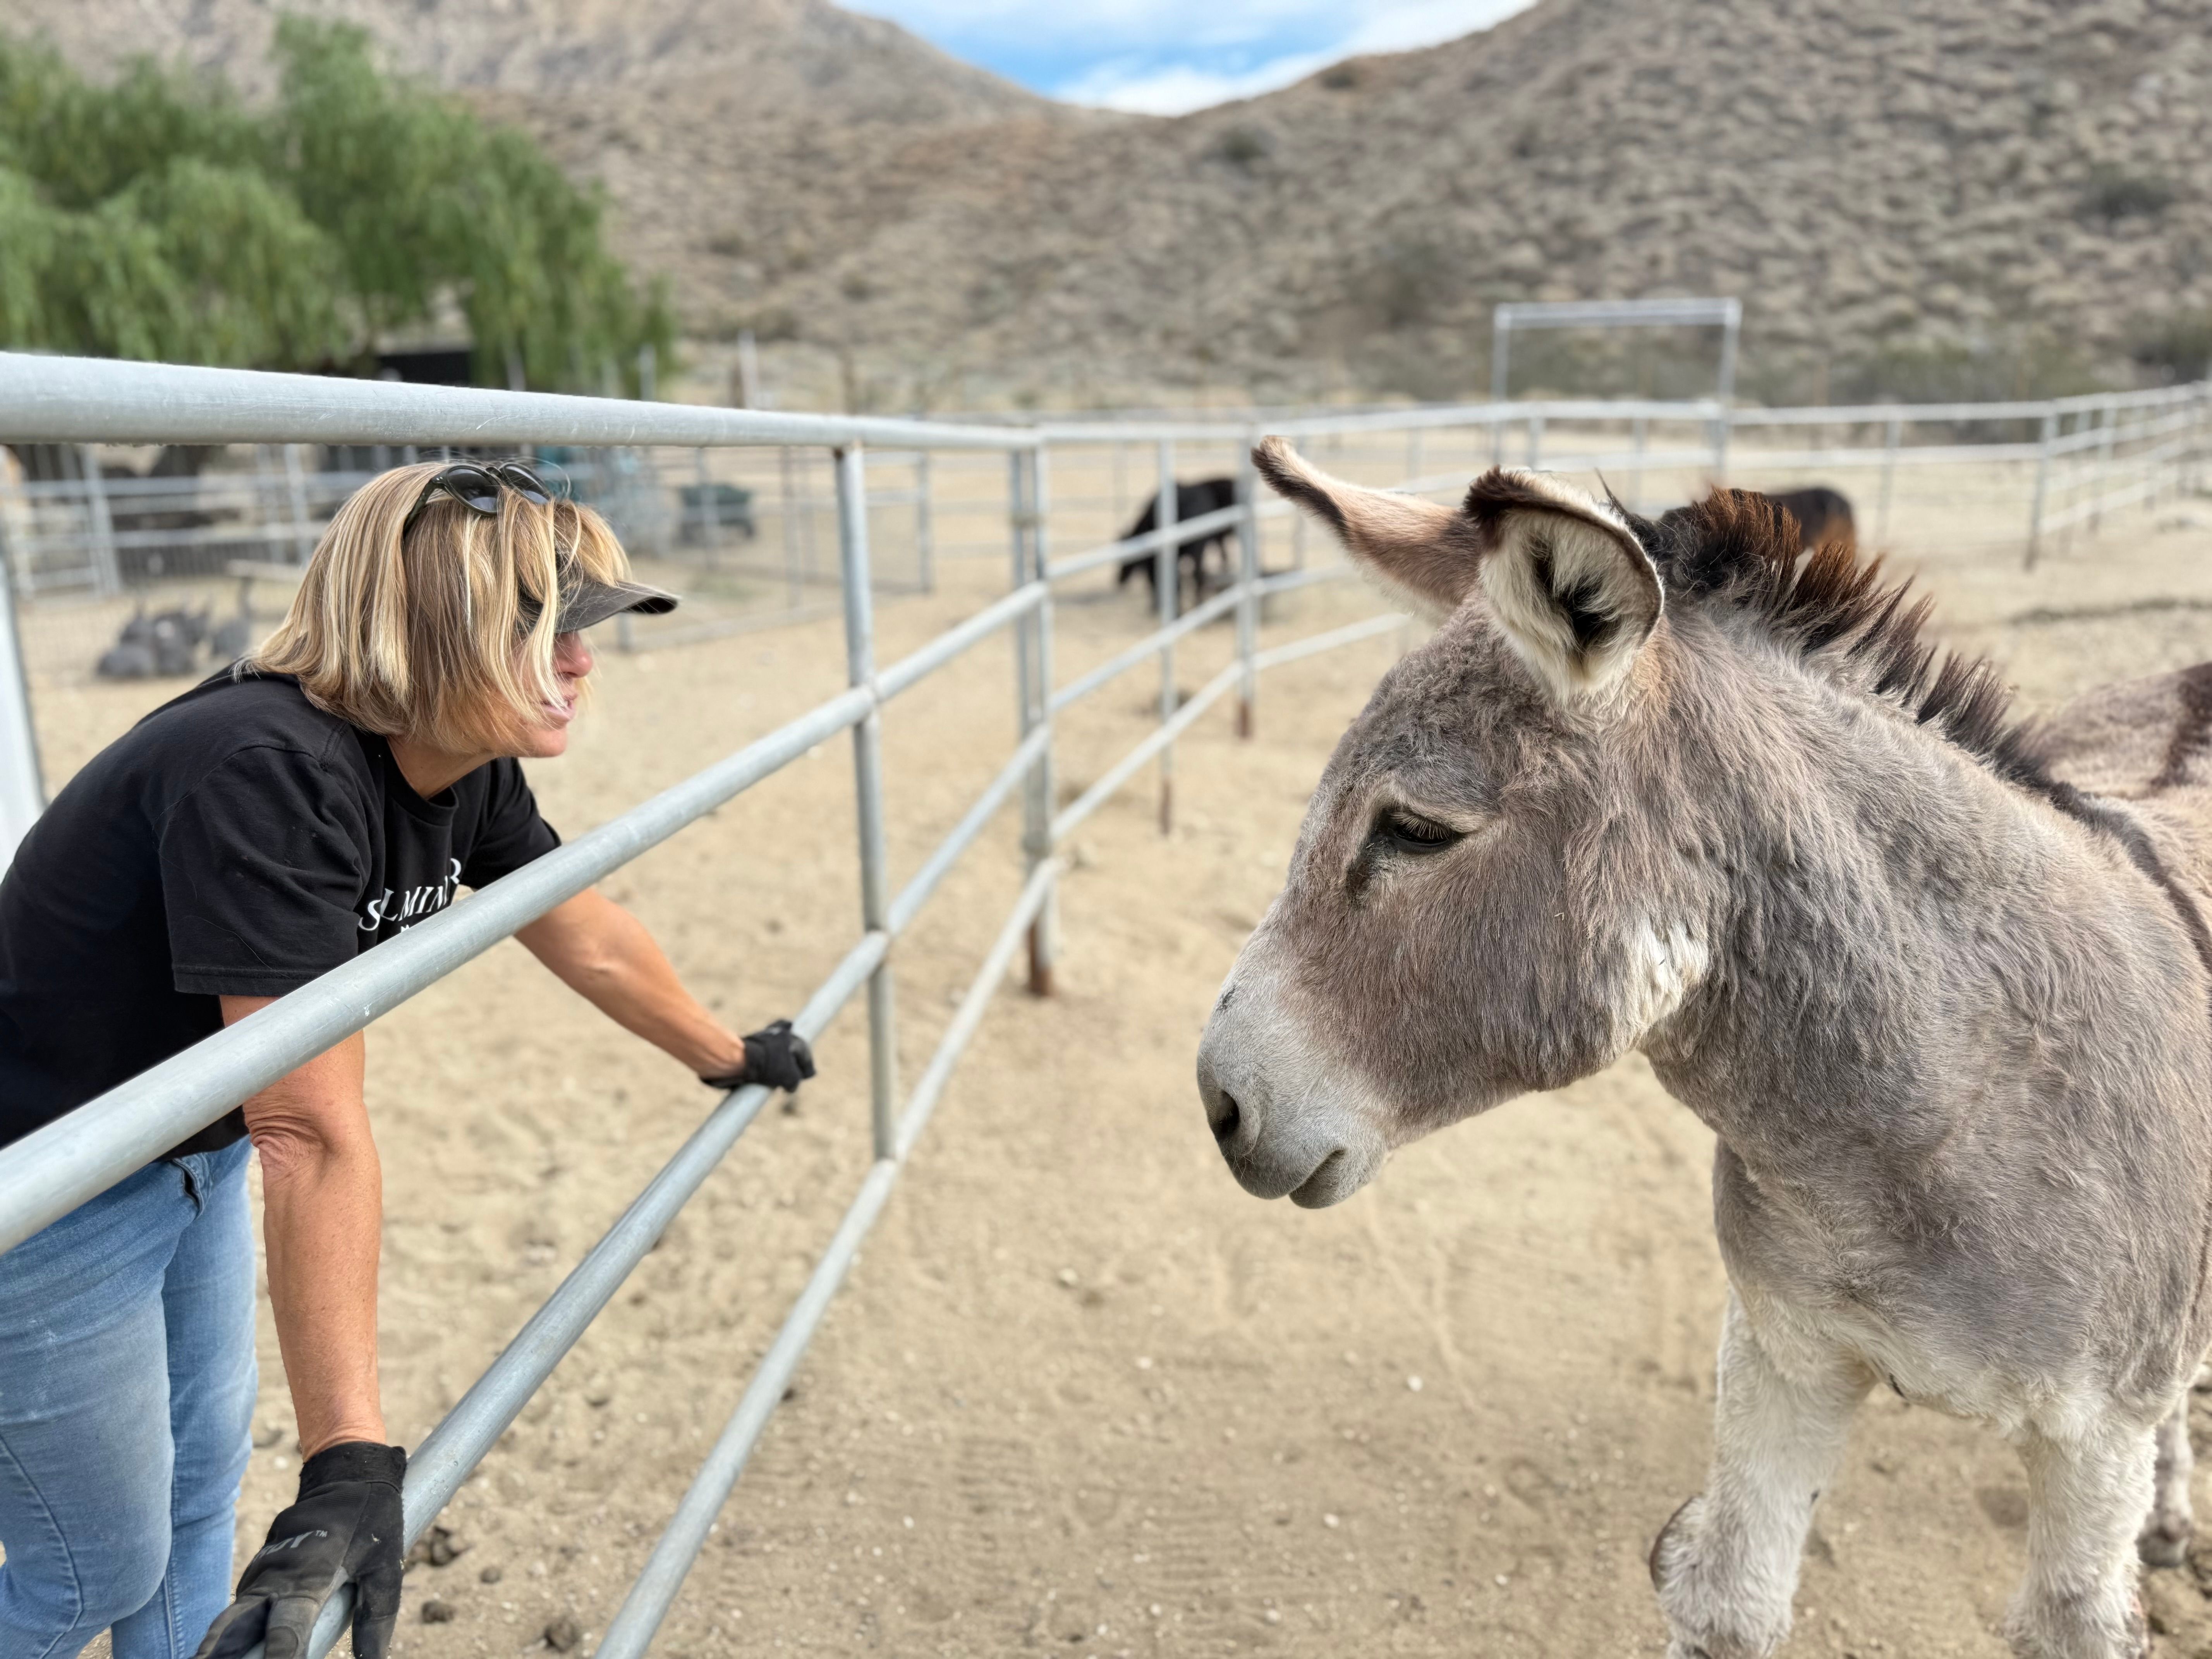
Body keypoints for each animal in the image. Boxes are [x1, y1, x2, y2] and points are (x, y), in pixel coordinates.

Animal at [1196, 438, 2212, 1659]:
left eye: (1417, 830)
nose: (1218, 1104)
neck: (1947, 1115)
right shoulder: (1782, 1358)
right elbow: (1734, 1598)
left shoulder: (2094, 1439)